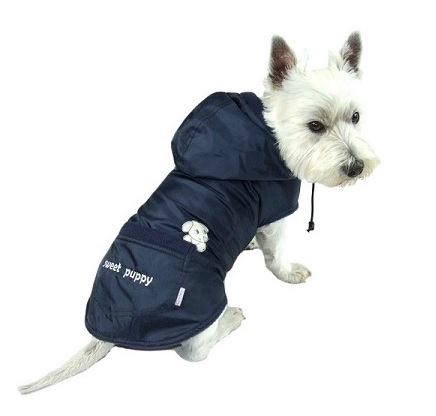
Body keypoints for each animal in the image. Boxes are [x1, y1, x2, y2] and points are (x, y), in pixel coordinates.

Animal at [18, 32, 379, 394]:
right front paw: (288, 273)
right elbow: (276, 256)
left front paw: (249, 242)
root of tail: (109, 332)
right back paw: (230, 319)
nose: (356, 167)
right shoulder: (277, 215)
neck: (267, 138)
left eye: (356, 117)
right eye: (315, 125)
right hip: (205, 302)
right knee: (194, 351)